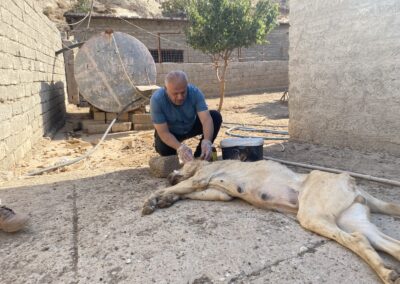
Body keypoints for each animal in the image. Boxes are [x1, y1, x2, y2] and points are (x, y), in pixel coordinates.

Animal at [142, 160, 400, 284]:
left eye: (181, 164)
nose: (168, 174)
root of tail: (352, 182)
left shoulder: (200, 180)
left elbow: (176, 188)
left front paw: (153, 198)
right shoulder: (217, 192)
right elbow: (182, 192)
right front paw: (166, 199)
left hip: (313, 215)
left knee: (358, 240)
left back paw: (385, 273)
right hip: (353, 219)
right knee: (384, 243)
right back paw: (387, 271)